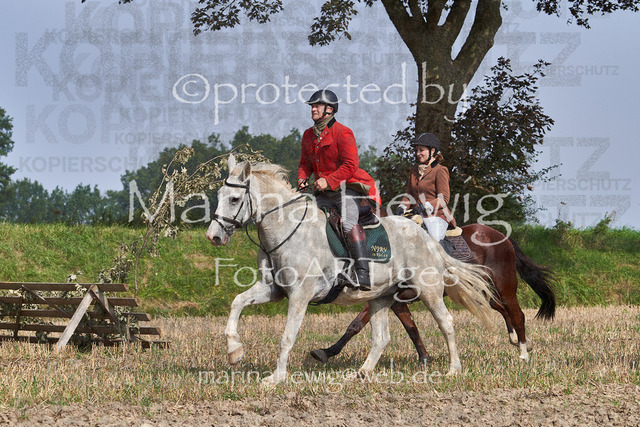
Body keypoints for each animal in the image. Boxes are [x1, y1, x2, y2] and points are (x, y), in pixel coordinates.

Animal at [206, 155, 497, 384]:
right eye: (219, 196)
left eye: (234, 199)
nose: (213, 236)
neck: (287, 230)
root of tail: (427, 237)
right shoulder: (272, 289)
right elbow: (237, 302)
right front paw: (234, 351)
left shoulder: (300, 295)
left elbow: (287, 336)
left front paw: (276, 378)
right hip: (381, 296)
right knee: (381, 338)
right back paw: (362, 373)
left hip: (428, 290)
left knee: (446, 322)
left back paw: (453, 370)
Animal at [310, 223, 557, 363]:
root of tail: (500, 236)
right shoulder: (395, 301)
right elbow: (411, 328)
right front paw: (424, 357)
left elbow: (355, 325)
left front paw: (326, 352)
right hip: (481, 290)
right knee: (503, 310)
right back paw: (518, 340)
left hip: (504, 285)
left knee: (516, 313)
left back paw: (523, 352)